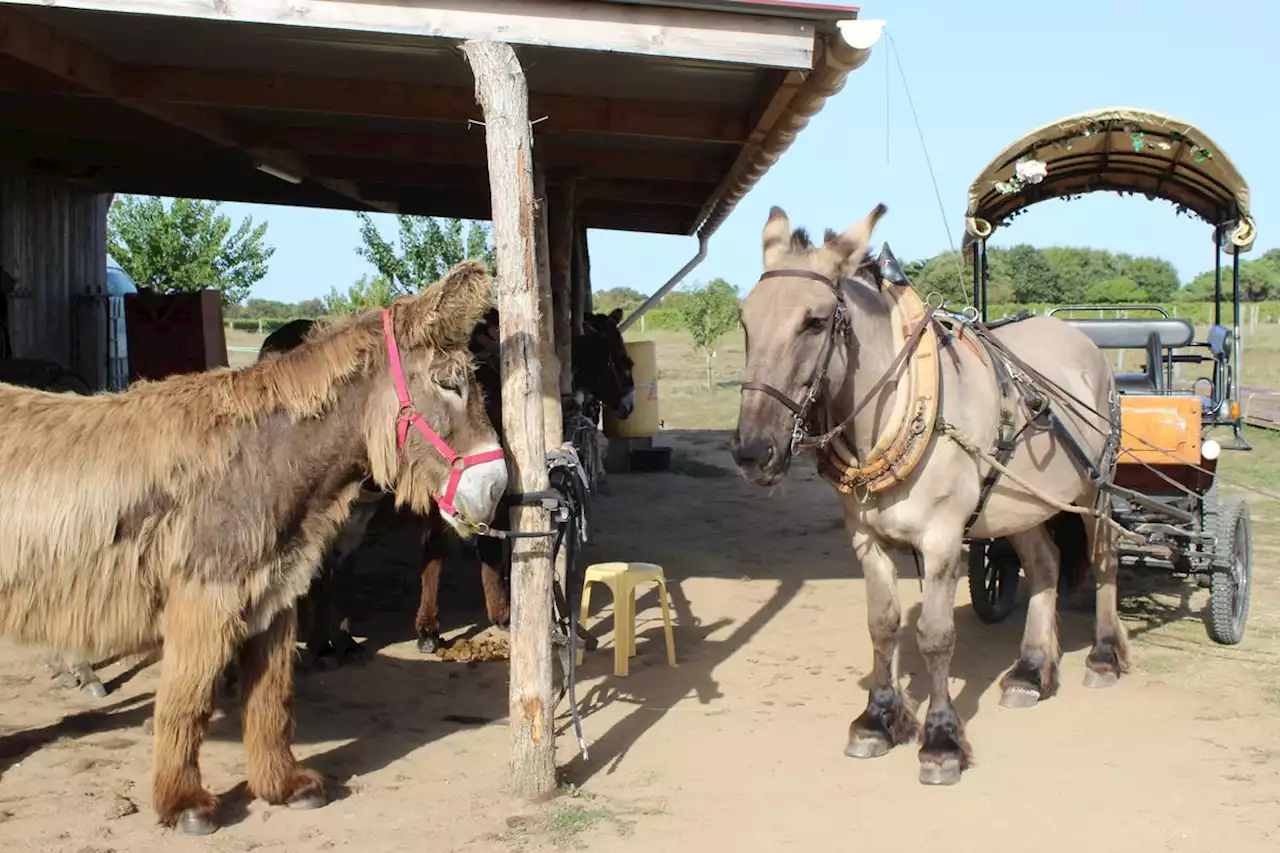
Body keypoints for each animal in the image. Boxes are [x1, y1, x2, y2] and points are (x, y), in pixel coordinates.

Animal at [0, 261, 509, 829]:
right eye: (450, 384)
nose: (498, 488)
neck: (263, 459)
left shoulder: (272, 597)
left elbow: (271, 700)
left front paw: (281, 786)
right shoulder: (205, 599)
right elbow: (186, 702)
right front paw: (183, 803)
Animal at [732, 204, 1131, 783]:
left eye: (814, 321)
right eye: (745, 320)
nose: (752, 451)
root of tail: (1080, 340)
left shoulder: (942, 541)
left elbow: (936, 636)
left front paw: (940, 740)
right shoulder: (867, 540)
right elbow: (882, 626)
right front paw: (877, 721)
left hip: (1092, 491)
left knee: (1104, 561)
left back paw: (1103, 656)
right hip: (1023, 504)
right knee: (1047, 566)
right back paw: (1030, 671)